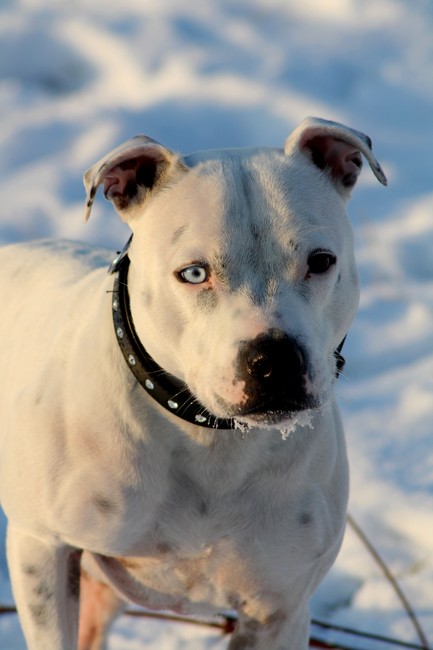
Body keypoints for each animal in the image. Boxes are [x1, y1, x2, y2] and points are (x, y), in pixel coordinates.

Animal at [0, 117, 386, 649]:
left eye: (321, 261)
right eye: (194, 273)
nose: (274, 360)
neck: (210, 439)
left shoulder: (279, 610)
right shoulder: (42, 548)